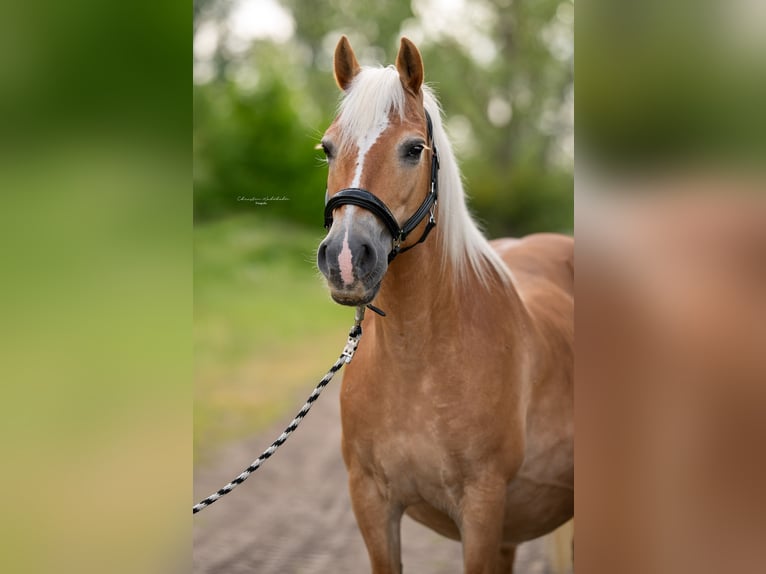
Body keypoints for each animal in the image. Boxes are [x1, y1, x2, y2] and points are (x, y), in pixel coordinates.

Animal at [316, 37, 572, 574]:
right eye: (327, 148)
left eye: (414, 149)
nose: (346, 258)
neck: (417, 362)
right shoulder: (371, 502)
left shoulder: (481, 506)